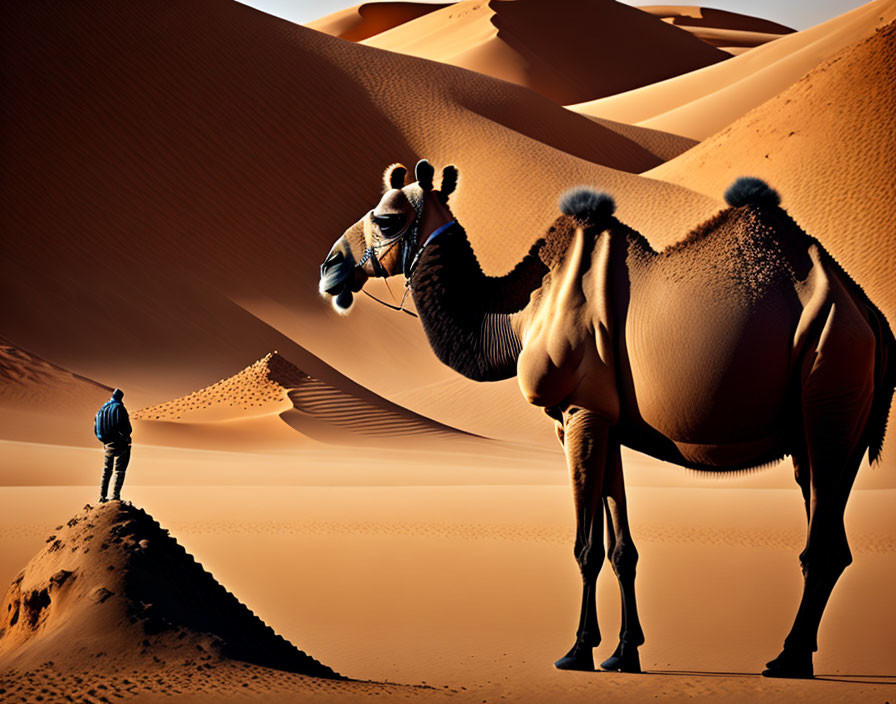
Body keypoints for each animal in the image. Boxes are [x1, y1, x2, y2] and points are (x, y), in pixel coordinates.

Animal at [318, 160, 892, 676]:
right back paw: (799, 655)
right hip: (818, 428)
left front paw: (577, 651)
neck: (520, 312)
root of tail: (869, 314)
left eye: (387, 218)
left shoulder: (579, 413)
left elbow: (585, 546)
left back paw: (788, 660)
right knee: (831, 533)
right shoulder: (607, 421)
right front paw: (623, 653)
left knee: (822, 542)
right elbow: (620, 549)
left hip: (830, 376)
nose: (331, 267)